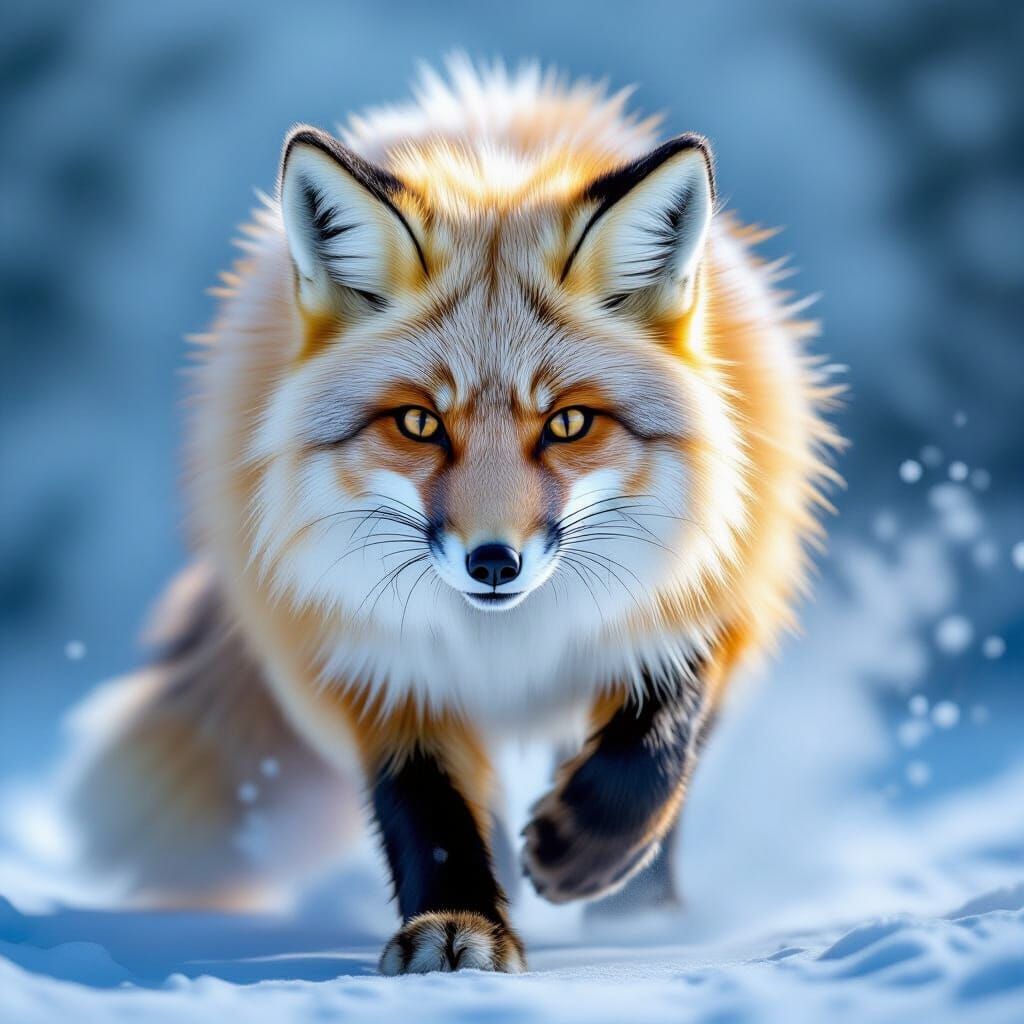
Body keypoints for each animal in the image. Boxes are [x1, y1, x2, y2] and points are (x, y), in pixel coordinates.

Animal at [68, 60, 842, 975]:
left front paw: (589, 858)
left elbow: (652, 753)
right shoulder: (374, 659)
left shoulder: (710, 592)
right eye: (419, 423)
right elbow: (429, 812)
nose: (493, 562)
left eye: (568, 424)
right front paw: (456, 924)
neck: (509, 645)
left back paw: (636, 910)